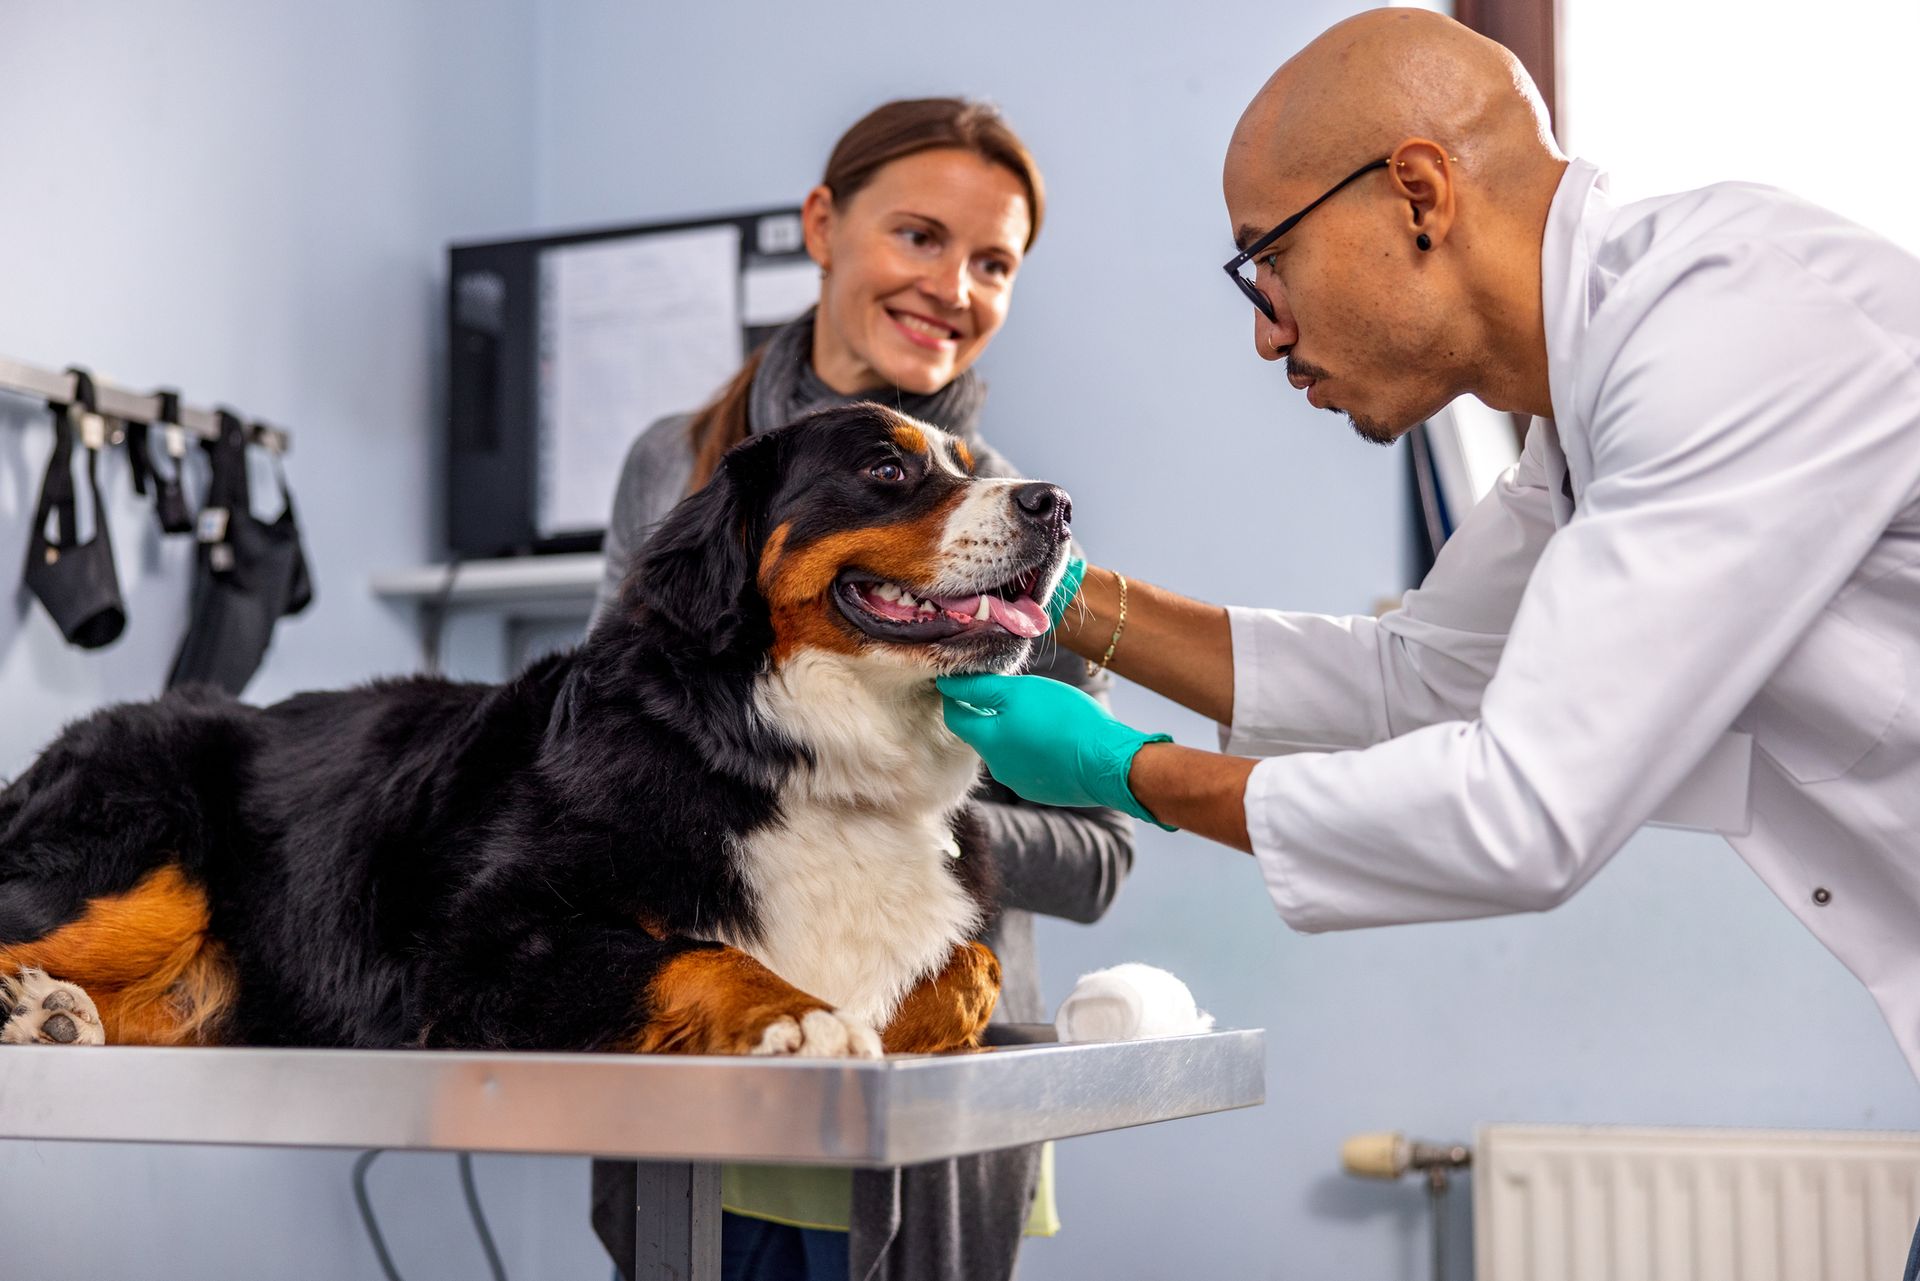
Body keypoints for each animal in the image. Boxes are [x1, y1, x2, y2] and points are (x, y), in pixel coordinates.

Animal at [0, 403, 1075, 1060]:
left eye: (964, 466)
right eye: (886, 467)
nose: (1056, 502)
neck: (788, 749)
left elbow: (970, 968)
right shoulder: (483, 952)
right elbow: (701, 953)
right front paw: (801, 1015)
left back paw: (57, 1015)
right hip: (143, 863)